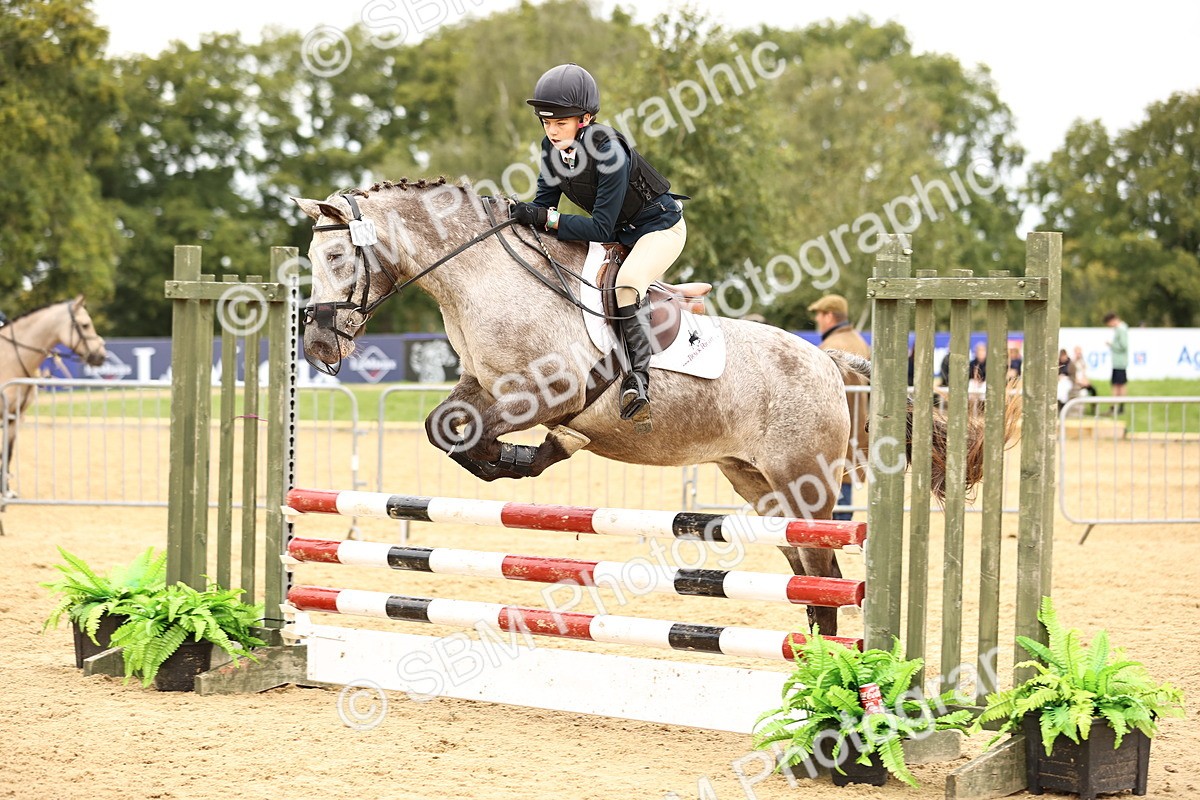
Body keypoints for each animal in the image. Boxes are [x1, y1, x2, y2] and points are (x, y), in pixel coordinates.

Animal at [0, 298, 108, 494]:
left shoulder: (15, 417)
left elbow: (7, 453)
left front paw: (7, 491)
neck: (9, 359)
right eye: (85, 325)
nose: (101, 356)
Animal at [293, 178, 987, 635]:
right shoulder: (482, 387)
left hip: (806, 484)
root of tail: (828, 364)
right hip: (760, 486)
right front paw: (520, 458)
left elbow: (472, 435)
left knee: (825, 577)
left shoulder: (545, 393)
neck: (484, 277)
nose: (321, 346)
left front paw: (540, 451)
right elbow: (447, 428)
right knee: (808, 575)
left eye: (337, 256)